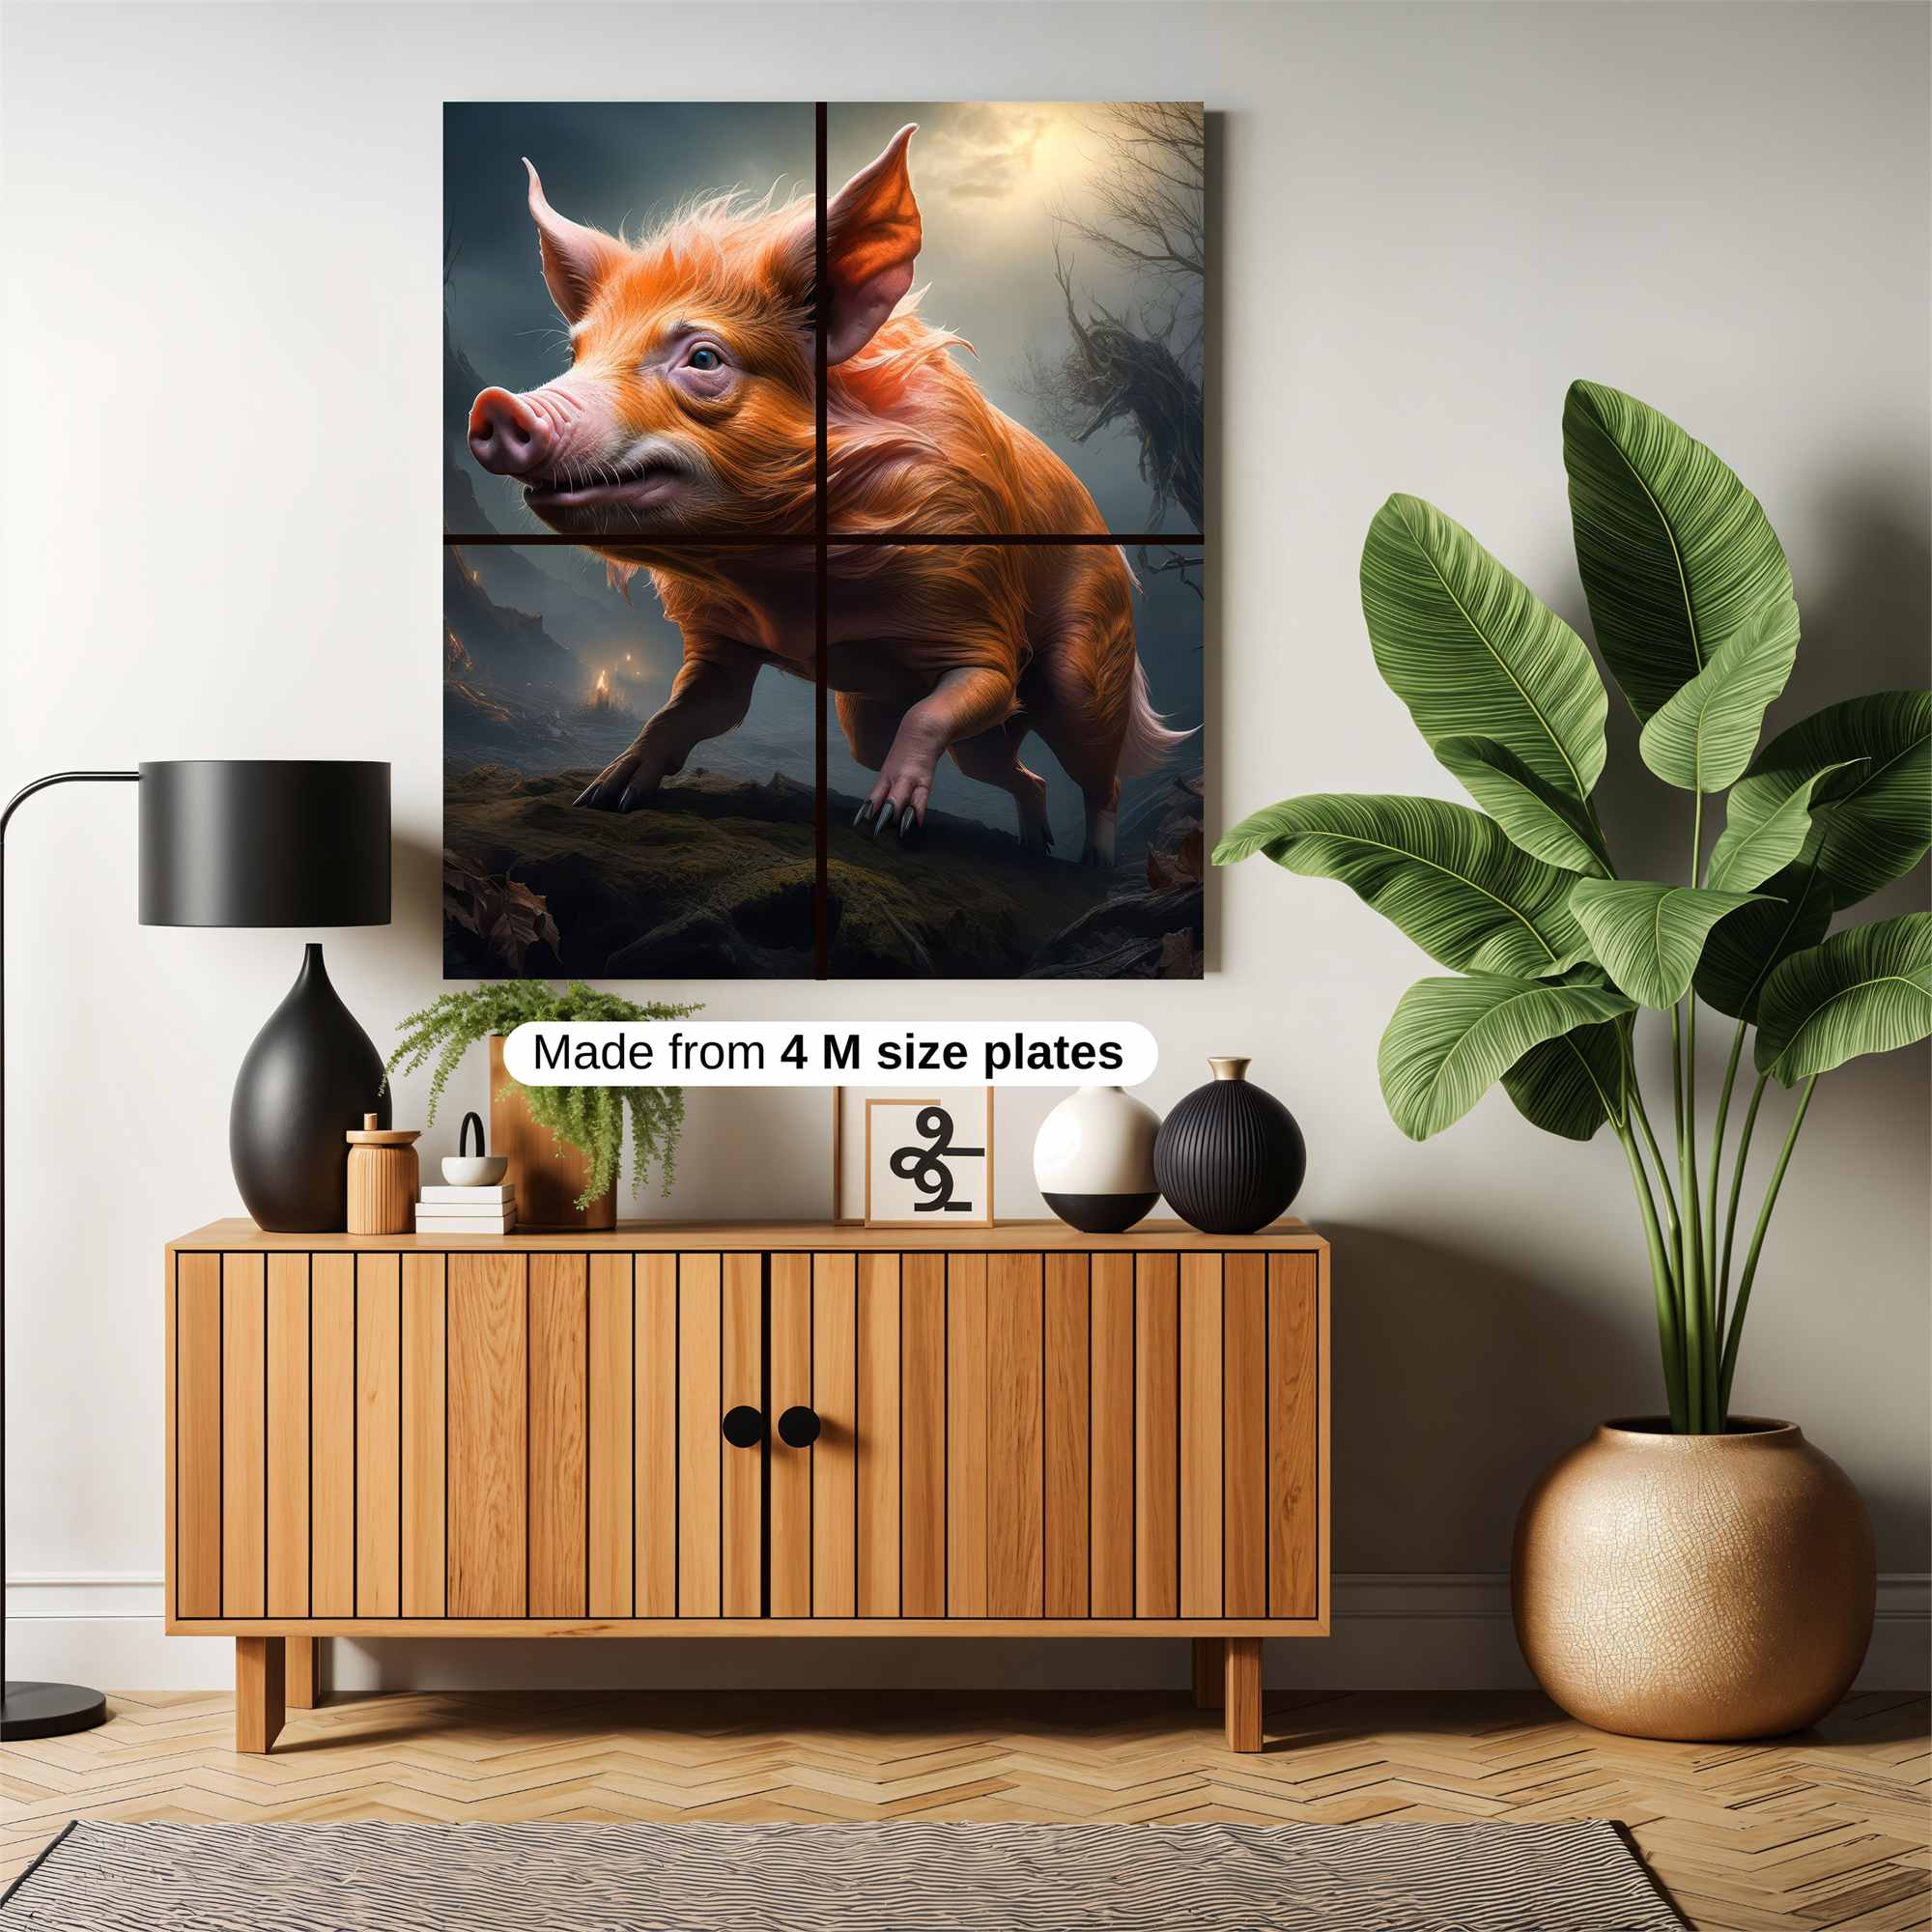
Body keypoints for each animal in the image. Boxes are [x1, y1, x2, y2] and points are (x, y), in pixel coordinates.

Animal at [467, 125, 1187, 863]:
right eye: (576, 353)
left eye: (704, 358)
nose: (496, 404)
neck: (783, 582)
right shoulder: (721, 645)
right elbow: (691, 710)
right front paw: (602, 794)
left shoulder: (980, 617)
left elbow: (949, 700)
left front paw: (885, 819)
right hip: (870, 714)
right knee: (1006, 767)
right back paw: (1033, 846)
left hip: (1087, 658)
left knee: (1094, 768)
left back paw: (1090, 865)